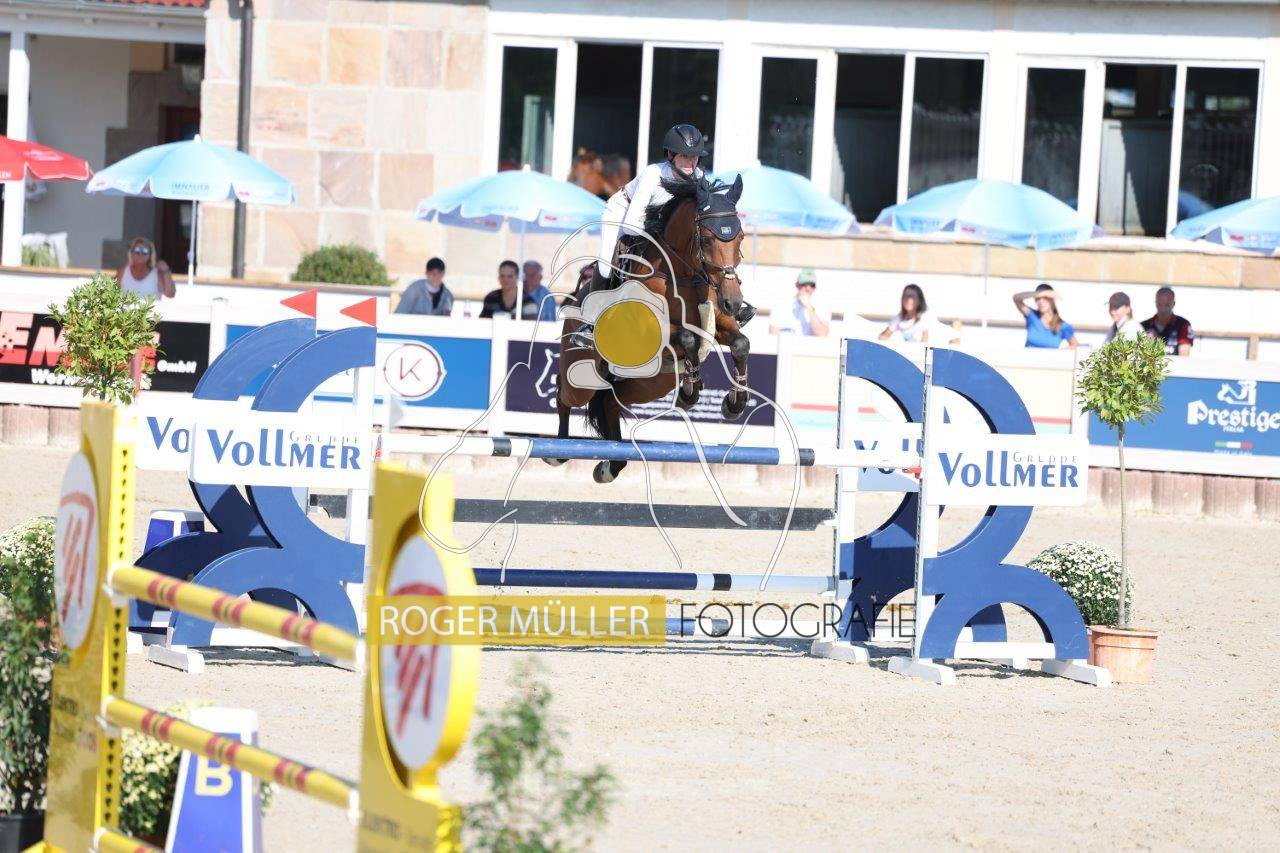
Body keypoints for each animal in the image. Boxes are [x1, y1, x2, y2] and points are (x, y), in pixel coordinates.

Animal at [549, 172, 751, 483]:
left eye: (740, 237)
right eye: (706, 239)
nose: (733, 301)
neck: (682, 274)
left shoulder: (719, 323)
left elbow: (740, 343)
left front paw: (734, 404)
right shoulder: (651, 330)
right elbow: (688, 338)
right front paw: (690, 391)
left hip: (648, 383)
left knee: (610, 403)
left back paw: (609, 466)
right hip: (582, 376)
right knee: (564, 393)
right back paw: (557, 451)